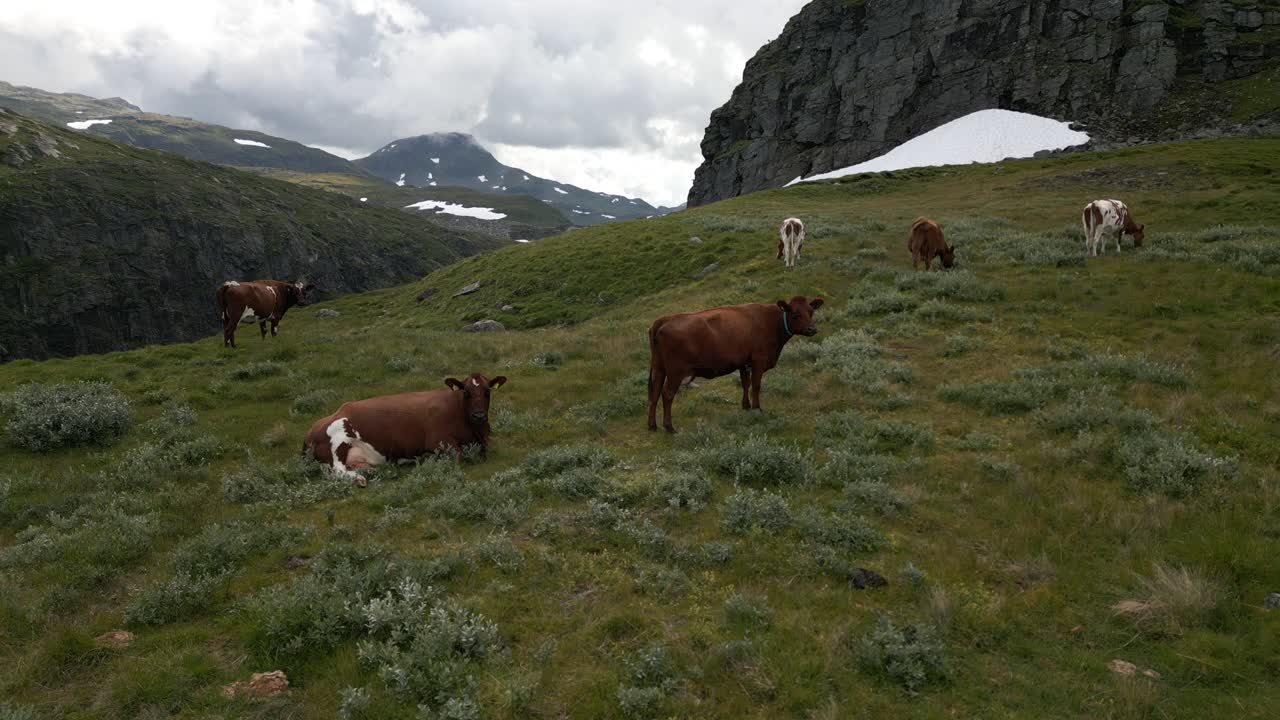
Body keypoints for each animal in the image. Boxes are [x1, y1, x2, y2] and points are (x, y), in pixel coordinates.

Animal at [302, 373, 508, 485]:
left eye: (487, 391)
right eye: (466, 392)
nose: (479, 416)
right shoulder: (440, 441)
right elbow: (459, 456)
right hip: (338, 440)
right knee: (337, 471)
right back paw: (360, 479)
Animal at [647, 296, 823, 433]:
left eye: (811, 312)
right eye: (795, 314)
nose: (812, 329)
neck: (771, 322)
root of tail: (665, 319)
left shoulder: (743, 362)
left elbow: (745, 383)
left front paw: (746, 406)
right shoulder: (758, 360)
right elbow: (756, 385)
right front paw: (757, 409)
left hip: (658, 367)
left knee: (654, 393)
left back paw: (652, 425)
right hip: (676, 371)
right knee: (667, 394)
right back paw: (669, 427)